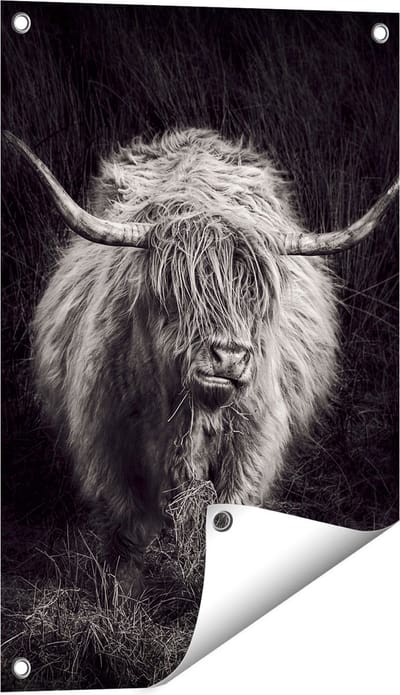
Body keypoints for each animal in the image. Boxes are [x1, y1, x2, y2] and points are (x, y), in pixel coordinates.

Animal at [4, 129, 398, 590]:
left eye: (254, 297)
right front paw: (122, 593)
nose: (230, 357)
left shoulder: (252, 447)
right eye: (178, 294)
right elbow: (126, 529)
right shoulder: (108, 442)